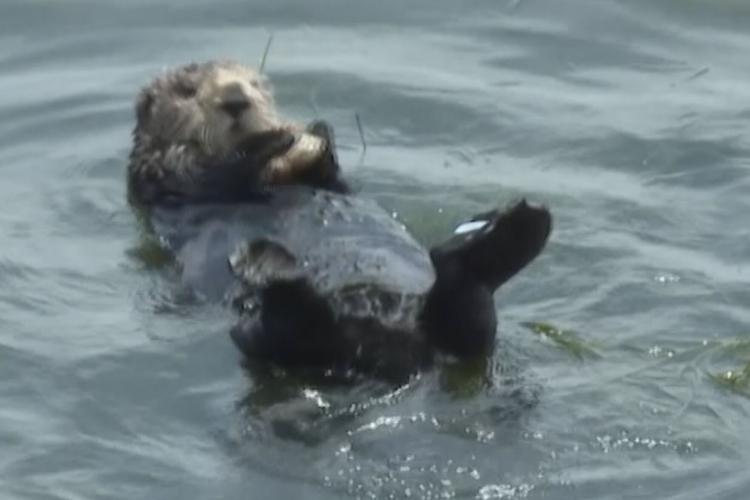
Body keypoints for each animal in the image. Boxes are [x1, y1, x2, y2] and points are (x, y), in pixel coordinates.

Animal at [128, 60, 346, 207]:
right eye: (187, 91)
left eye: (254, 84)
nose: (235, 99)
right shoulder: (166, 171)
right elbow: (218, 179)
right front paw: (277, 137)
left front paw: (319, 129)